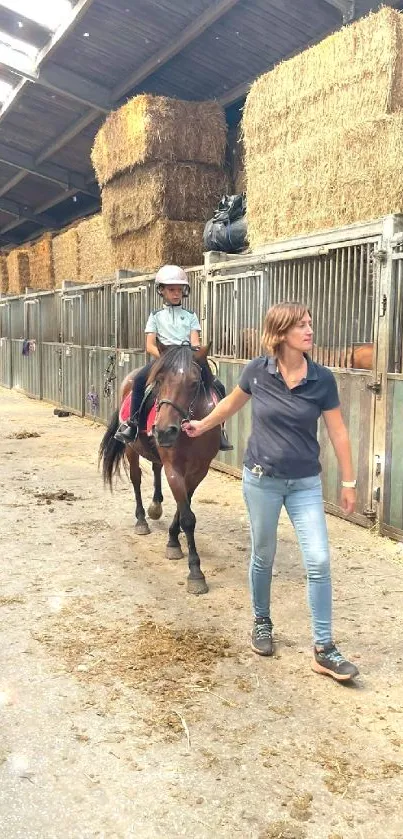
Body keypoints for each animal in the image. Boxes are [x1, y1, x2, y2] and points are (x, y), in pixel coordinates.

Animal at [100, 344, 221, 592]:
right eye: (160, 380)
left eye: (194, 383)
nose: (164, 431)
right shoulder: (174, 469)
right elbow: (187, 517)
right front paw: (195, 572)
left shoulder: (199, 471)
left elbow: (184, 508)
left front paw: (173, 540)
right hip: (131, 449)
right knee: (136, 479)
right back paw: (141, 521)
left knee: (155, 468)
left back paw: (155, 506)